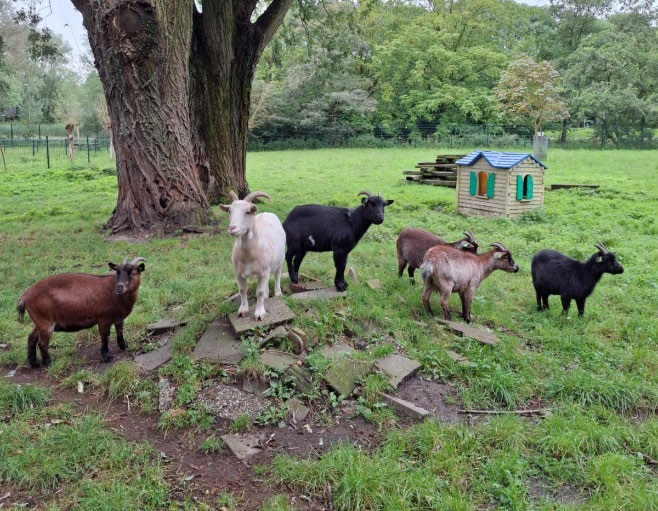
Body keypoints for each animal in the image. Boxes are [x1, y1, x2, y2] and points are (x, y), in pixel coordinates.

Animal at [17, 258, 145, 366]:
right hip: (46, 322)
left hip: (39, 321)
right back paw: (48, 363)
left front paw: (124, 346)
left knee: (31, 337)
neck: (115, 295)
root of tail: (25, 296)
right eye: (117, 273)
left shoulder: (118, 318)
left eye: (132, 272)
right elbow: (105, 336)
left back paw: (33, 363)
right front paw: (106, 357)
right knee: (42, 342)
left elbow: (120, 331)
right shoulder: (104, 319)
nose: (119, 287)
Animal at [220, 192, 284, 320]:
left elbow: (259, 292)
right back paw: (267, 295)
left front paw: (259, 313)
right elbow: (242, 290)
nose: (232, 228)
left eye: (248, 212)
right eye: (229, 211)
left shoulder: (263, 271)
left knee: (277, 276)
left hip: (280, 260)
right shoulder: (239, 273)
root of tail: (268, 213)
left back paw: (278, 293)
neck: (248, 255)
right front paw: (243, 310)